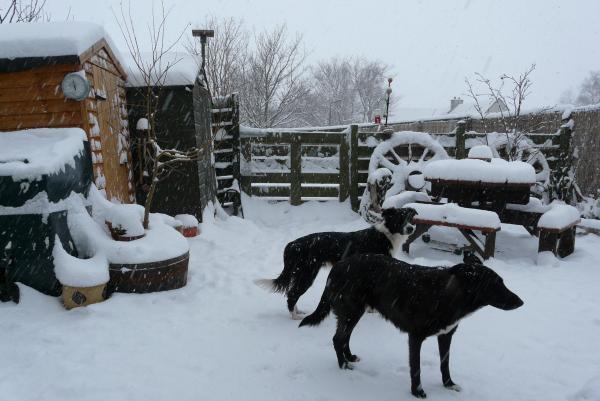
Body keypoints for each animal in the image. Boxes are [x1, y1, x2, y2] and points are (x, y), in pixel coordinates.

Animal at [253, 206, 418, 318]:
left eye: (409, 218)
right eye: (399, 219)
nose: (411, 228)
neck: (387, 234)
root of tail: (293, 244)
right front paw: (372, 310)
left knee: (292, 292)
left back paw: (298, 311)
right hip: (306, 273)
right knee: (292, 294)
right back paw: (295, 316)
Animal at [298, 253, 524, 396]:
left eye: (502, 282)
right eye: (496, 284)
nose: (521, 302)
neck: (449, 295)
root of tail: (338, 266)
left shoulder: (446, 335)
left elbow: (445, 364)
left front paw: (448, 385)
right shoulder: (415, 337)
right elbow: (416, 368)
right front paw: (418, 392)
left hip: (355, 313)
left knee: (345, 337)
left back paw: (350, 357)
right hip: (350, 312)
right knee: (338, 338)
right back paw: (343, 365)